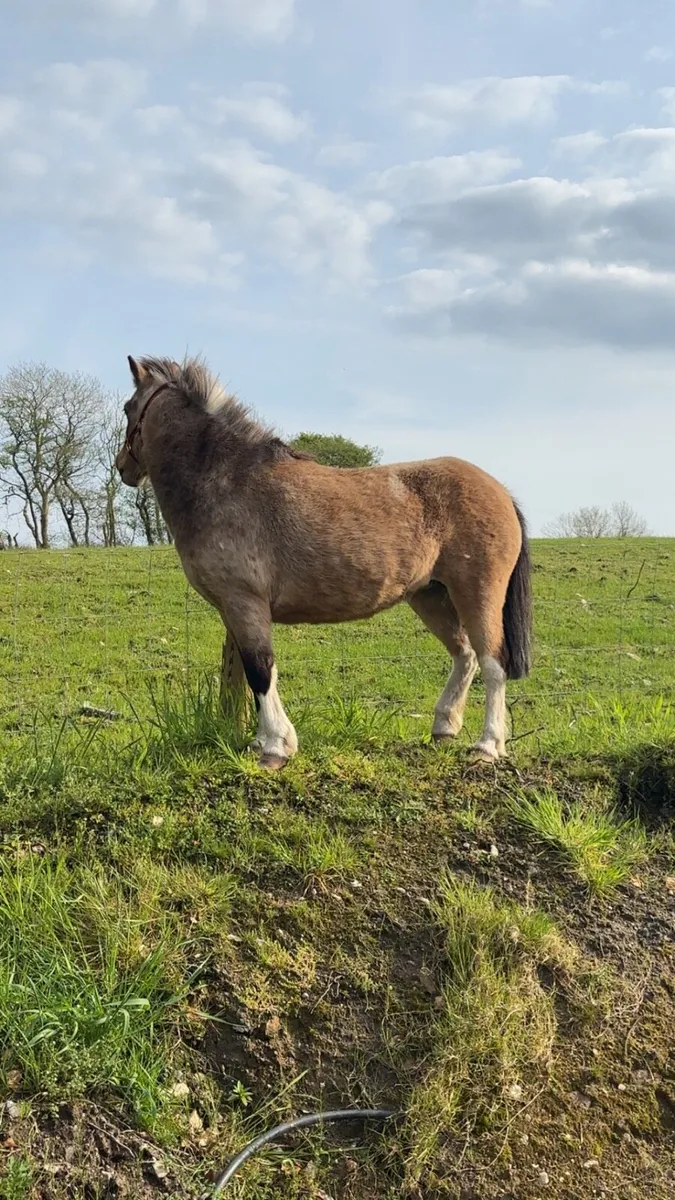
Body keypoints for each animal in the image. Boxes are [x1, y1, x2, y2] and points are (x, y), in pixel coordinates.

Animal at [116, 355, 532, 769]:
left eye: (127, 407)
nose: (122, 467)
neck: (226, 481)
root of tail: (500, 491)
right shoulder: (233, 609)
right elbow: (255, 675)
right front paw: (261, 741)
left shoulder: (244, 602)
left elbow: (260, 669)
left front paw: (275, 747)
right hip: (430, 595)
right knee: (464, 655)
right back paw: (444, 728)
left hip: (477, 593)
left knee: (492, 662)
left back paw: (487, 745)